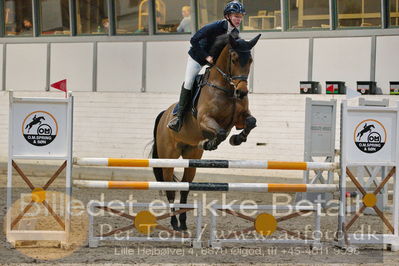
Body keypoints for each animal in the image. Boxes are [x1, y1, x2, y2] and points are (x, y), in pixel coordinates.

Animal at [152, 33, 260, 231]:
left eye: (250, 60)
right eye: (234, 59)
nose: (242, 92)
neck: (227, 87)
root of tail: (164, 114)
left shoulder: (240, 119)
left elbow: (250, 122)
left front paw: (237, 138)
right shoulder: (205, 120)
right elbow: (220, 132)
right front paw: (210, 142)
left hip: (191, 156)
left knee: (185, 187)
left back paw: (183, 223)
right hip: (168, 157)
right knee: (170, 188)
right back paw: (174, 223)